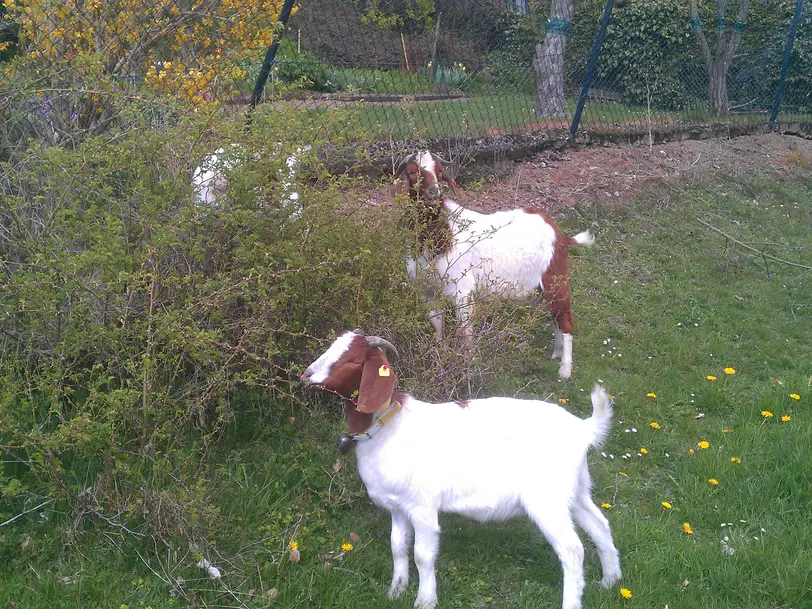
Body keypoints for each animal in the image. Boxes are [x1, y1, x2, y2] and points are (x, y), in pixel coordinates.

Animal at [396, 150, 592, 378]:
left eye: (439, 172)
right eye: (412, 173)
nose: (433, 193)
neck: (441, 234)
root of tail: (560, 234)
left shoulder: (463, 291)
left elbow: (466, 334)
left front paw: (468, 368)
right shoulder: (429, 291)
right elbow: (437, 326)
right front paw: (438, 360)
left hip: (555, 278)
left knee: (566, 320)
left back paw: (565, 370)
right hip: (540, 288)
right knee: (555, 317)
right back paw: (557, 354)